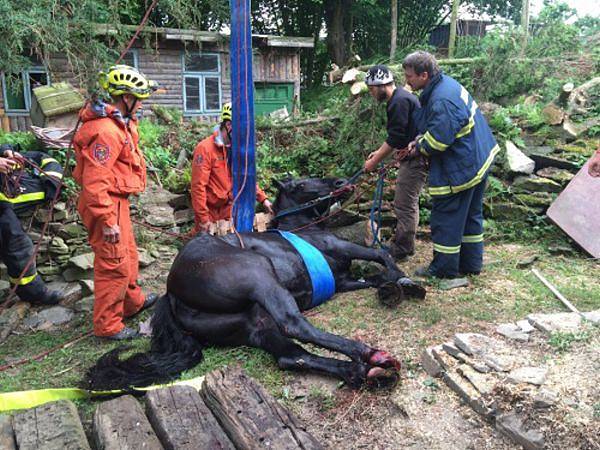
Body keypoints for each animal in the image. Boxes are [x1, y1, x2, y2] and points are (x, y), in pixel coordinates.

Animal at [88, 176, 426, 390]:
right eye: (301, 183)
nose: (341, 183)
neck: (305, 229)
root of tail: (171, 294)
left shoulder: (343, 280)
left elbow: (376, 276)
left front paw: (394, 287)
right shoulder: (342, 247)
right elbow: (381, 254)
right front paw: (407, 282)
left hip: (254, 324)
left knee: (292, 355)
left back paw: (365, 372)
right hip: (261, 277)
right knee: (295, 324)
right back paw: (369, 355)